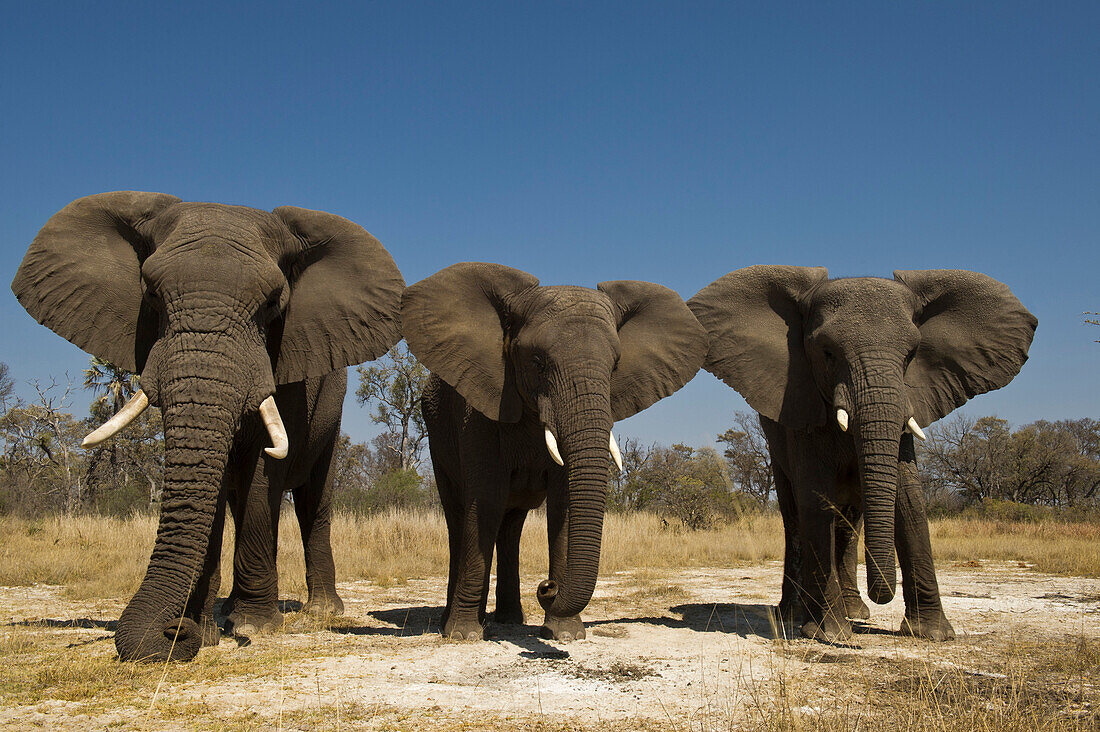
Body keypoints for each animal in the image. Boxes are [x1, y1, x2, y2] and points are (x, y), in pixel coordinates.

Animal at [9, 191, 404, 660]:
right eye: (150, 293)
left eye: (273, 302)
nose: (171, 631)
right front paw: (204, 630)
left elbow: (262, 474)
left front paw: (253, 627)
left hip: (331, 407)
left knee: (312, 500)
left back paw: (320, 612)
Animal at [400, 263, 708, 638]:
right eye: (537, 361)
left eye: (615, 365)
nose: (547, 587)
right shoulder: (477, 412)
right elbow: (485, 499)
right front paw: (464, 635)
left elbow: (564, 501)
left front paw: (566, 633)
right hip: (435, 433)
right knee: (459, 517)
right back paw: (454, 622)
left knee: (510, 526)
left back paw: (509, 619)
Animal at [690, 267, 1034, 638]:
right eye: (827, 352)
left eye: (911, 354)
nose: (881, 593)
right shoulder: (801, 405)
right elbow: (816, 499)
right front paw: (829, 634)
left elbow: (909, 499)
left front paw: (932, 634)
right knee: (795, 515)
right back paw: (794, 614)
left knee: (849, 522)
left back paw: (856, 611)